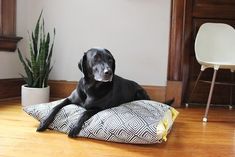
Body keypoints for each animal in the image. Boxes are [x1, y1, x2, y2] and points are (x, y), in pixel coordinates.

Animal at [37, 47, 173, 137]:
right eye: (96, 58)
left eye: (110, 60)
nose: (109, 72)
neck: (90, 87)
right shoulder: (69, 99)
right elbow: (55, 107)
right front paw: (43, 123)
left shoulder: (97, 108)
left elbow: (84, 113)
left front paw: (75, 128)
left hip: (139, 93)